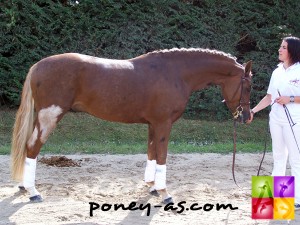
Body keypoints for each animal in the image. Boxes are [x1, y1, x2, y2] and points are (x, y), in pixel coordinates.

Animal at [10, 48, 252, 204]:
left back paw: (23, 185)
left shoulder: (153, 125)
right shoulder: (163, 124)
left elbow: (152, 154)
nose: (247, 117)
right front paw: (165, 193)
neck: (175, 73)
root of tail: (38, 66)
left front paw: (152, 187)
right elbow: (162, 157)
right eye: (248, 86)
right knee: (32, 147)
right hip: (50, 117)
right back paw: (33, 191)